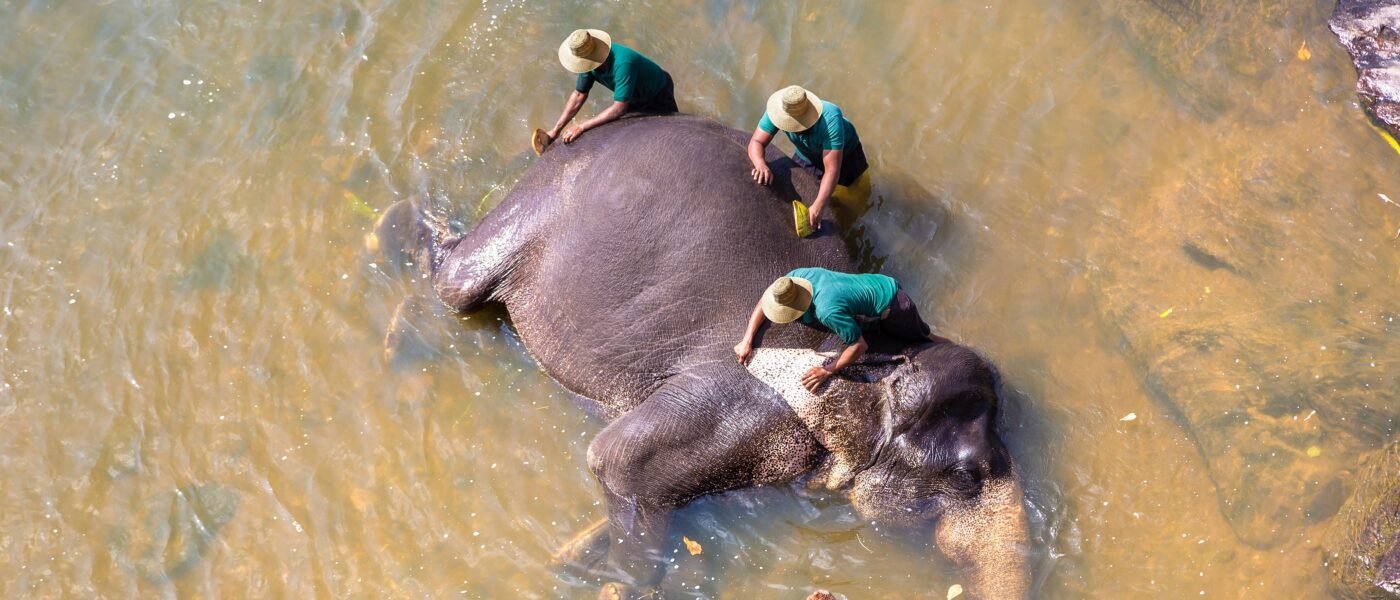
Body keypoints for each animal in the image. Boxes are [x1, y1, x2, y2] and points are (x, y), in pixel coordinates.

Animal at [374, 114, 1030, 598]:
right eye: (968, 475)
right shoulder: (743, 404)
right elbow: (616, 460)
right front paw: (617, 583)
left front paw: (574, 558)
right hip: (539, 205)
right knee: (457, 285)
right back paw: (391, 245)